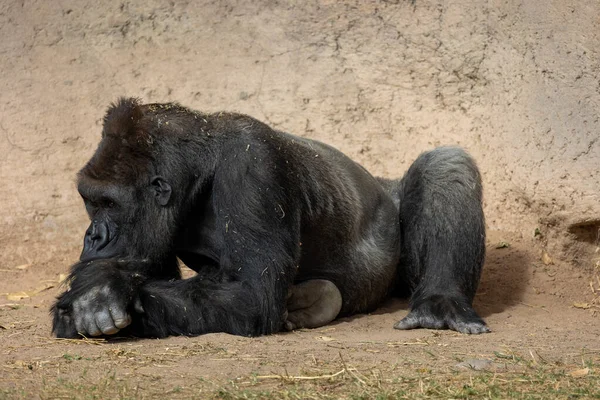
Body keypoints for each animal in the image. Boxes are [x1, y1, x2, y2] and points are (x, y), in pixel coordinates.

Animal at [51, 97, 490, 338]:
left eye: (109, 204)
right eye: (90, 202)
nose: (93, 238)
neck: (203, 163)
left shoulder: (254, 166)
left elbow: (252, 296)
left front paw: (102, 291)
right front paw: (100, 285)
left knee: (445, 164)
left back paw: (439, 303)